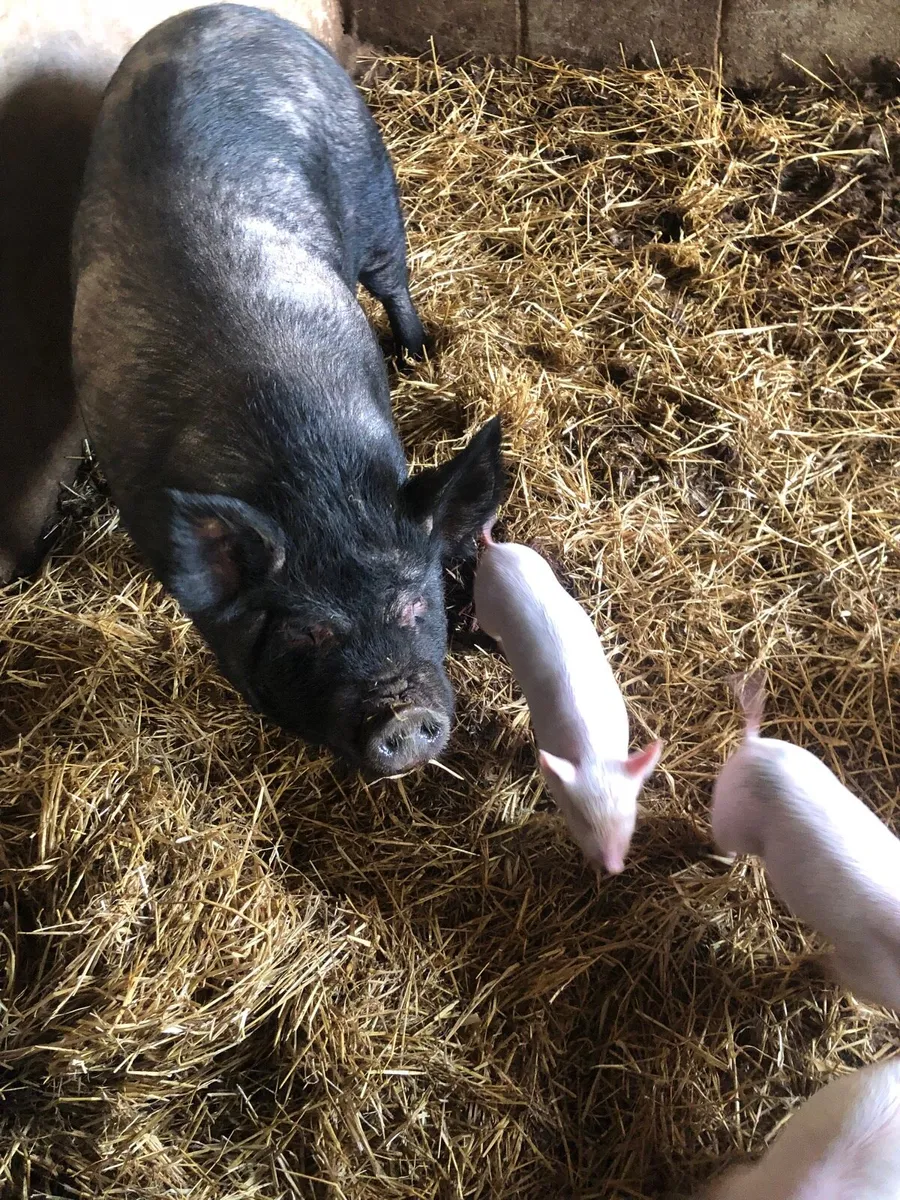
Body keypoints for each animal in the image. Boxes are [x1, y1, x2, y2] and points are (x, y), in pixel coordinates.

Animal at [71, 4, 505, 773]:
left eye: (414, 607)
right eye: (308, 633)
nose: (404, 715)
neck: (314, 484)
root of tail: (223, 13)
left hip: (374, 186)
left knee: (393, 281)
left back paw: (417, 354)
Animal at [473, 528, 662, 873]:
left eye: (629, 812)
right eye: (582, 818)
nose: (614, 867)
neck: (595, 751)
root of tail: (496, 550)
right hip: (485, 603)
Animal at [711, 672, 900, 1012]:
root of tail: (754, 742)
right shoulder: (875, 973)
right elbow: (844, 973)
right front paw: (819, 966)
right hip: (732, 816)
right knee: (722, 839)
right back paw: (724, 859)